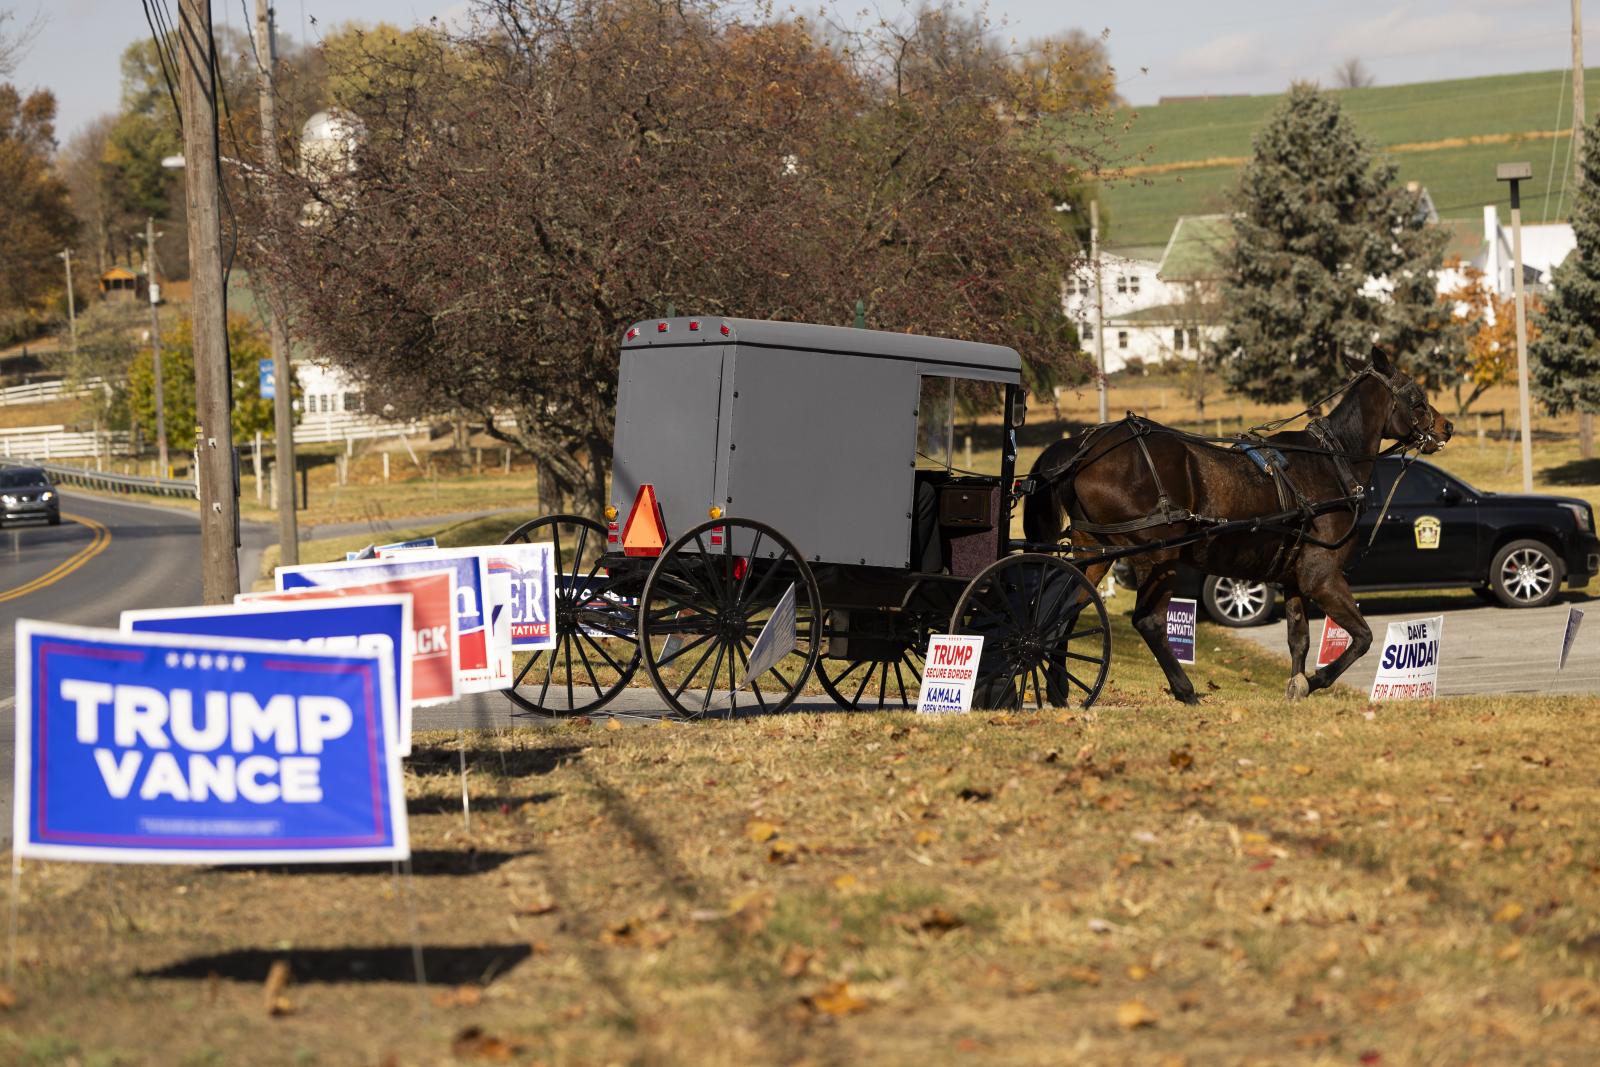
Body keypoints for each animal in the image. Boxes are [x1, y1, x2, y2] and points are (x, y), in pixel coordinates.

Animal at [1024, 348, 1452, 700]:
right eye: (1416, 396)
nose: (1446, 427)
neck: (1330, 462)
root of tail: (1084, 447)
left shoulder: (1294, 578)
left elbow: (1299, 639)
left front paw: (1296, 685)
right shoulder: (1321, 576)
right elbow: (1362, 637)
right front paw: (1314, 681)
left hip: (1096, 551)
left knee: (1065, 610)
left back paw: (1057, 684)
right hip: (1160, 556)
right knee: (1148, 621)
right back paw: (1185, 690)